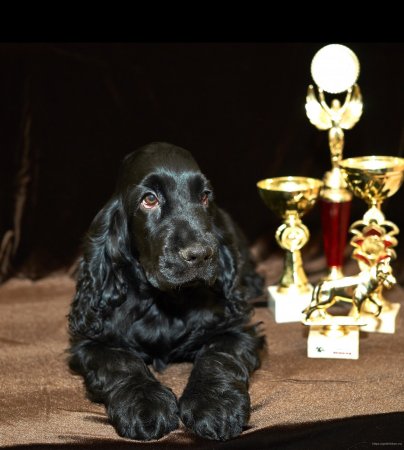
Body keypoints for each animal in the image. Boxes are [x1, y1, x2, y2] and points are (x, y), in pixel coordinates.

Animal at [68, 142, 266, 442]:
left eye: (205, 197)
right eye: (149, 199)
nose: (201, 254)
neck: (165, 300)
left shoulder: (235, 329)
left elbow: (218, 357)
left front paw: (216, 405)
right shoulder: (92, 340)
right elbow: (121, 362)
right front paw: (145, 405)